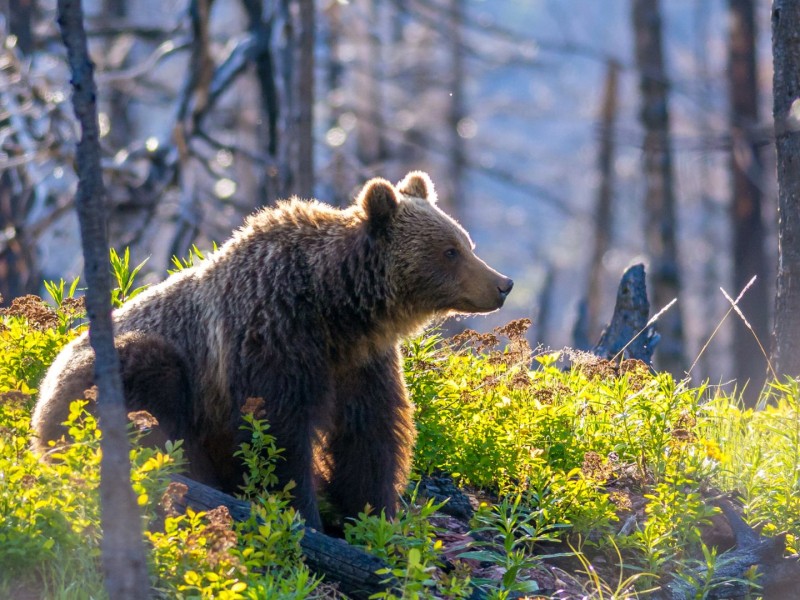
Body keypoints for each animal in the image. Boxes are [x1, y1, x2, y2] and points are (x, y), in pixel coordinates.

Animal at [32, 171, 513, 531]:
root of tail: (38, 402)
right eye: (450, 251)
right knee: (152, 393)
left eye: (465, 243)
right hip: (112, 375)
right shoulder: (271, 337)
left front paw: (372, 519)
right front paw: (304, 516)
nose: (502, 284)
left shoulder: (360, 361)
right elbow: (276, 434)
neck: (334, 306)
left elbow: (369, 434)